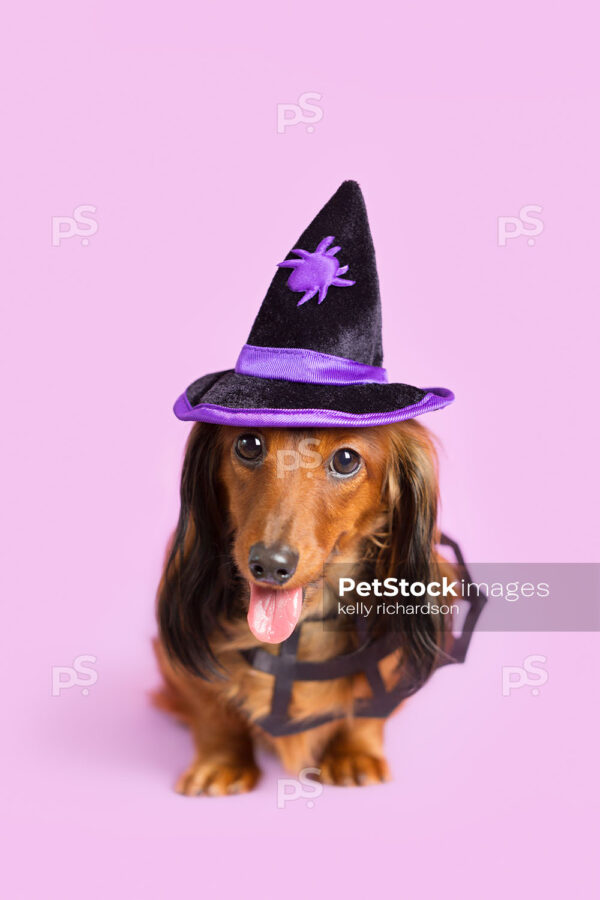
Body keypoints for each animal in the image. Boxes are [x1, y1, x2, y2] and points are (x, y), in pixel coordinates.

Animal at [152, 422, 452, 796]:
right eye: (248, 444)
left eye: (346, 459)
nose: (269, 564)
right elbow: (211, 710)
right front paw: (221, 762)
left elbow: (368, 708)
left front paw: (353, 754)